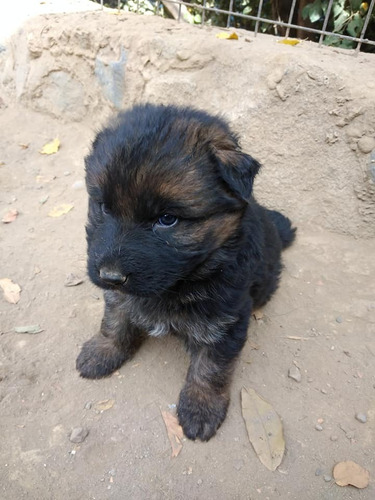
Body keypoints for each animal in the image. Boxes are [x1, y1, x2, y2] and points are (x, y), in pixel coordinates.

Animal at [77, 104, 296, 442]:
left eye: (167, 219)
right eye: (103, 207)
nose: (111, 276)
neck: (179, 283)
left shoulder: (224, 319)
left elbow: (210, 367)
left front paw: (201, 407)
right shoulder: (122, 296)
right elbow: (114, 320)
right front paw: (103, 351)